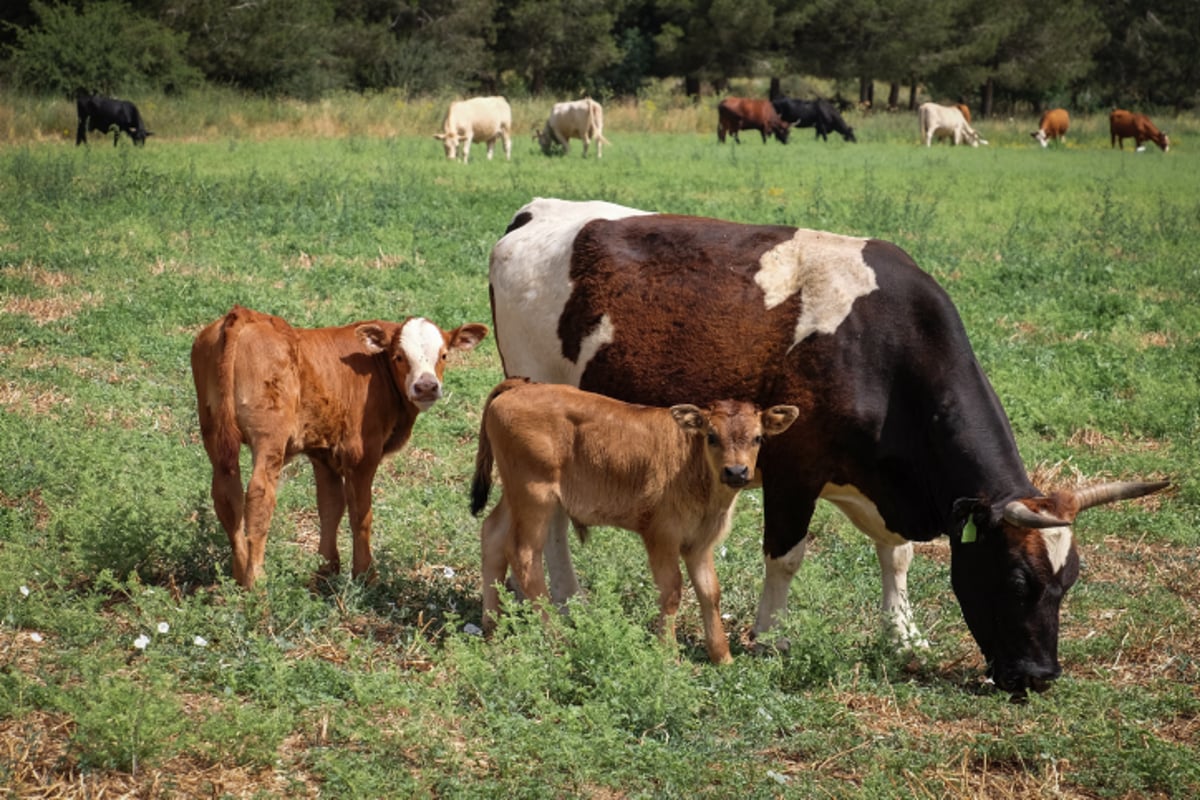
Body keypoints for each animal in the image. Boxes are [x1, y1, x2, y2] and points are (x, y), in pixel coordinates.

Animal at [188, 307, 487, 587]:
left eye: (444, 355)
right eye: (399, 356)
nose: (426, 386)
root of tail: (244, 315)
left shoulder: (324, 453)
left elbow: (330, 507)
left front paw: (326, 570)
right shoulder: (362, 454)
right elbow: (360, 514)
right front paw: (365, 575)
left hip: (214, 433)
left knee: (227, 495)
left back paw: (239, 575)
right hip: (269, 437)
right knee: (259, 496)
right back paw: (256, 580)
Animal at [472, 379, 801, 666]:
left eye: (758, 438)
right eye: (711, 436)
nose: (736, 472)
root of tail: (520, 386)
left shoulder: (699, 543)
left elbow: (710, 592)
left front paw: (723, 657)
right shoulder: (661, 537)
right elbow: (672, 590)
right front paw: (668, 653)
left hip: (516, 495)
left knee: (492, 534)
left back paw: (492, 624)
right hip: (534, 497)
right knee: (524, 556)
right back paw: (558, 637)